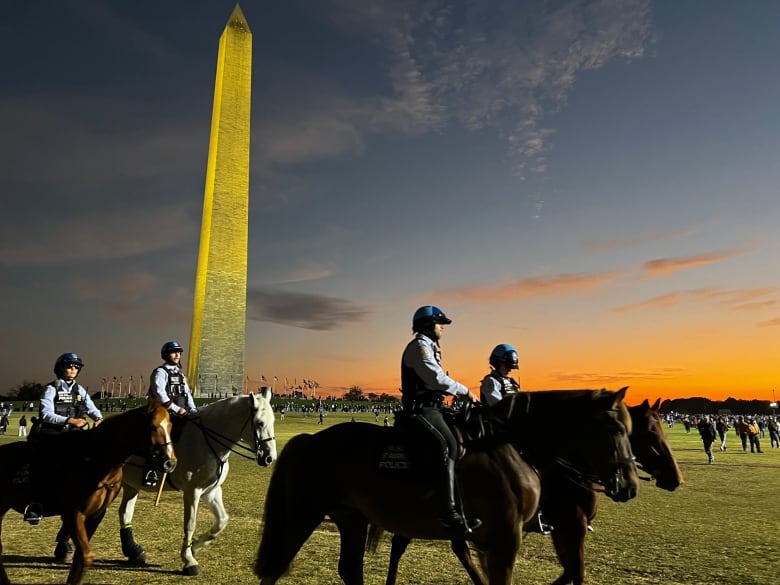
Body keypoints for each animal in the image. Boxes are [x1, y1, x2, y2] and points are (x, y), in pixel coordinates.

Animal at [0, 400, 176, 584]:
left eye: (170, 426)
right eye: (153, 427)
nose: (170, 463)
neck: (98, 459)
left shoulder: (96, 515)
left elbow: (80, 557)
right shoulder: (73, 514)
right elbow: (86, 557)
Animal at [116, 388, 274, 576]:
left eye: (273, 421)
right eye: (259, 423)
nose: (270, 457)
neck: (208, 441)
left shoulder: (212, 491)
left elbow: (222, 521)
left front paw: (195, 547)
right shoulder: (193, 491)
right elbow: (190, 524)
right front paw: (188, 560)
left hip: (130, 484)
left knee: (125, 512)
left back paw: (134, 551)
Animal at [256, 388, 640, 584]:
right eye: (616, 429)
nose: (630, 485)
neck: (511, 444)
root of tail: (310, 440)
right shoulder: (508, 540)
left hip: (351, 518)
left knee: (350, 569)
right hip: (303, 513)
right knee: (275, 567)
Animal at [378, 394, 684, 580]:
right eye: (651, 433)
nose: (676, 478)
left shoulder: (561, 530)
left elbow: (570, 572)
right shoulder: (568, 527)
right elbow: (574, 572)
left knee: (456, 547)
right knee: (403, 543)